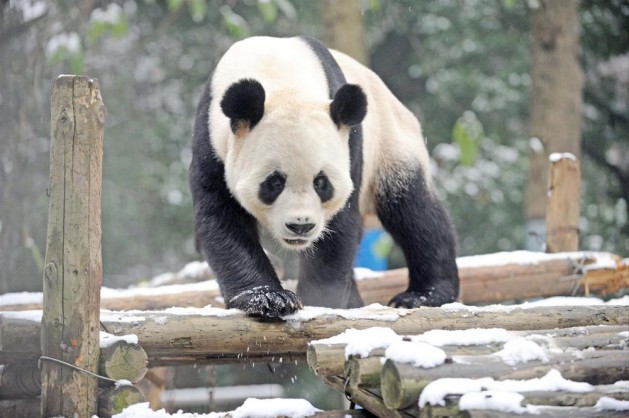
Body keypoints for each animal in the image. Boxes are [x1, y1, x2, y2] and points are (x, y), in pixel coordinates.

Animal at [189, 36, 458, 318]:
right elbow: (221, 219)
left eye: (321, 183)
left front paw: (318, 302)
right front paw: (269, 298)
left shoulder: (350, 145)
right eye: (274, 182)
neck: (279, 77)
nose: (301, 225)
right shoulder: (211, 144)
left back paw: (422, 295)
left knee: (416, 215)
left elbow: (338, 229)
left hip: (391, 146)